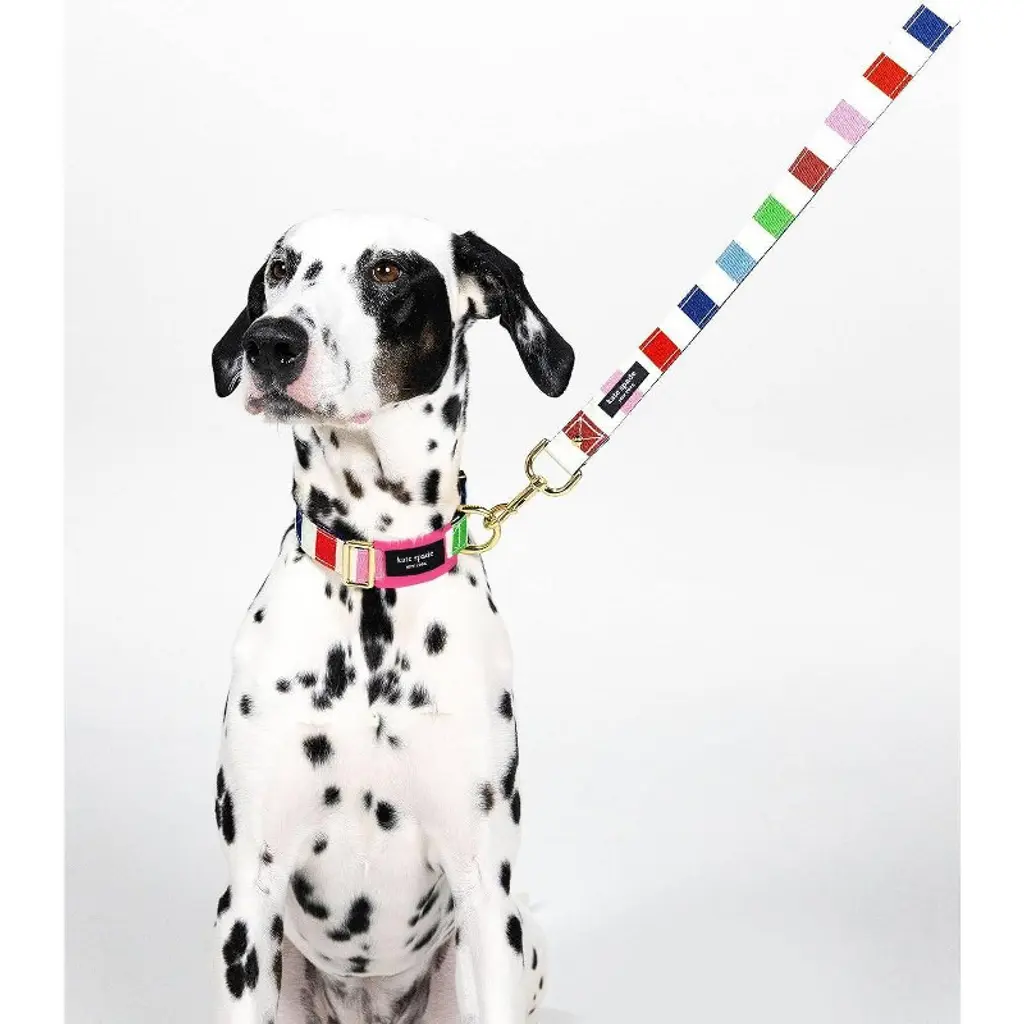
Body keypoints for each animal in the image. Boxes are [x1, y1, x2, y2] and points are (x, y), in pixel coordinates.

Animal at [210, 211, 575, 1024]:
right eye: (281, 267)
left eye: (386, 272)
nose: (271, 342)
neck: (372, 574)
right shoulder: (248, 898)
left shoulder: (487, 897)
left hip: (516, 945)